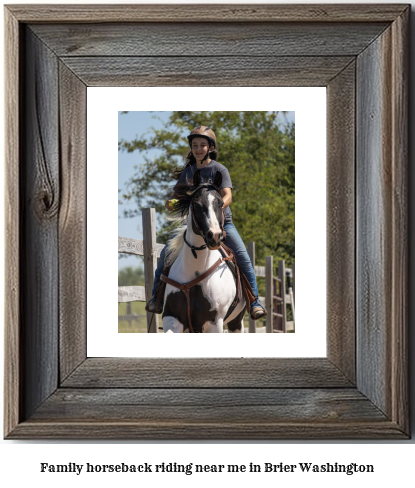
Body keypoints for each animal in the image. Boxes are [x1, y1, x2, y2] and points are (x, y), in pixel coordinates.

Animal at [162, 170, 247, 334]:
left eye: (221, 204)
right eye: (197, 204)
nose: (214, 236)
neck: (196, 271)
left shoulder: (214, 323)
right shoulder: (172, 318)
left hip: (236, 322)